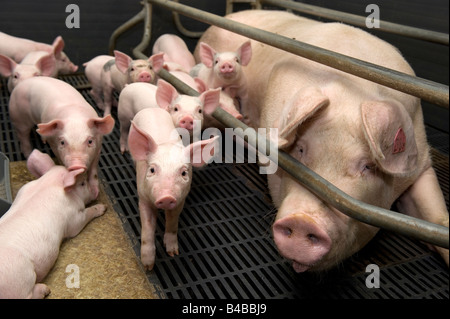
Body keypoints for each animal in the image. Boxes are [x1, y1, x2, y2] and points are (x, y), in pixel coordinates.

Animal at [0, 151, 105, 300]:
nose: (96, 191)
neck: (50, 184)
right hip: (20, 280)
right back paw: (45, 290)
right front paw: (103, 208)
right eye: (82, 183)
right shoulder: (73, 219)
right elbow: (86, 216)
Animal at [128, 109, 220, 272]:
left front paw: (173, 253)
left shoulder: (180, 199)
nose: (166, 197)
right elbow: (147, 229)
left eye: (183, 173)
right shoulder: (143, 198)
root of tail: (152, 108)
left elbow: (172, 223)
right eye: (152, 170)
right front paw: (148, 267)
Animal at [198, 11, 450, 274]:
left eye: (368, 166)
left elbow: (437, 218)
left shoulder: (421, 165)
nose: (303, 221)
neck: (351, 91)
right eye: (300, 149)